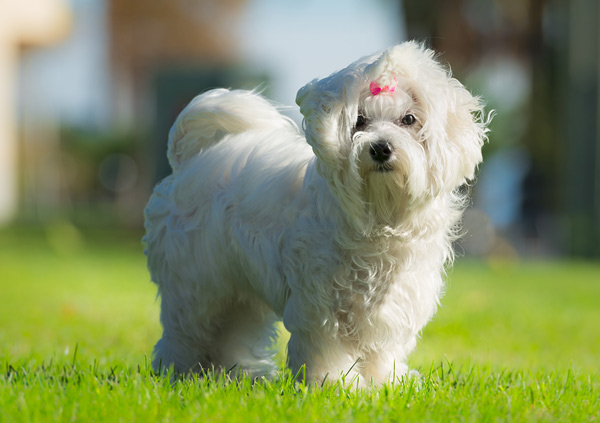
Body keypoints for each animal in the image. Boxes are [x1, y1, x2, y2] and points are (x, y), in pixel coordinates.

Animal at [143, 41, 490, 386]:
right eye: (359, 120)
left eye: (409, 119)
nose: (381, 148)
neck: (380, 215)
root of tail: (188, 162)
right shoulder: (322, 303)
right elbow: (328, 347)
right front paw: (336, 385)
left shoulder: (393, 303)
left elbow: (381, 350)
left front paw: (385, 382)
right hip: (196, 284)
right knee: (187, 331)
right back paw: (180, 374)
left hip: (236, 288)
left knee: (233, 329)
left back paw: (237, 374)